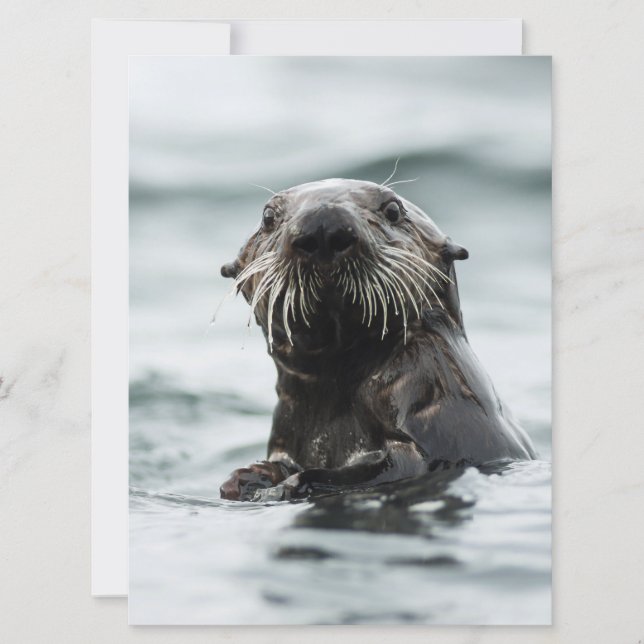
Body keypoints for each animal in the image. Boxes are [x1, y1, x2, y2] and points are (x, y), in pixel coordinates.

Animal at [219, 179, 536, 501]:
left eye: (393, 210)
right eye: (268, 217)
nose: (323, 225)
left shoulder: (432, 396)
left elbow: (396, 466)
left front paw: (287, 485)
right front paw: (247, 478)